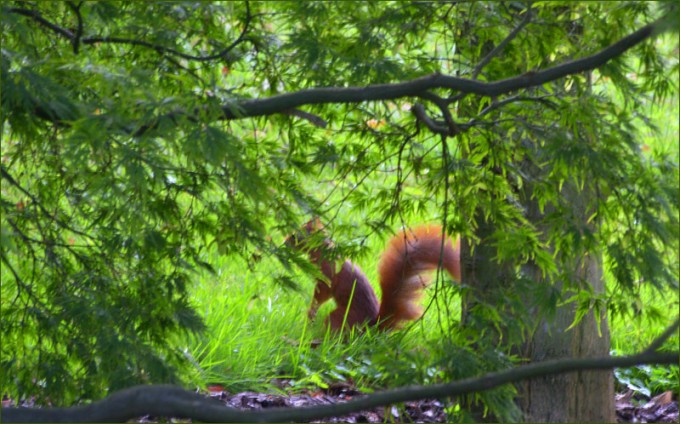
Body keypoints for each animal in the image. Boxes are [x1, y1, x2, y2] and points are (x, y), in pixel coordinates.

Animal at [287, 219, 461, 331]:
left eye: (296, 236)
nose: (284, 242)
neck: (323, 250)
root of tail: (372, 327)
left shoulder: (327, 276)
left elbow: (322, 294)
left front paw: (310, 312)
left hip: (340, 317)